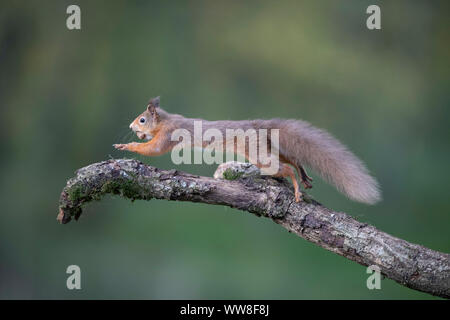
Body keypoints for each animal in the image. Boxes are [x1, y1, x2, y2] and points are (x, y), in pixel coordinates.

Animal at [113, 96, 380, 204]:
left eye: (142, 120)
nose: (131, 127)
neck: (165, 120)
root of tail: (258, 126)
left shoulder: (168, 134)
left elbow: (154, 149)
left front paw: (127, 145)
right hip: (270, 147)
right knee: (293, 159)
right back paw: (304, 177)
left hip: (260, 155)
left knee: (285, 169)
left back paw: (296, 188)